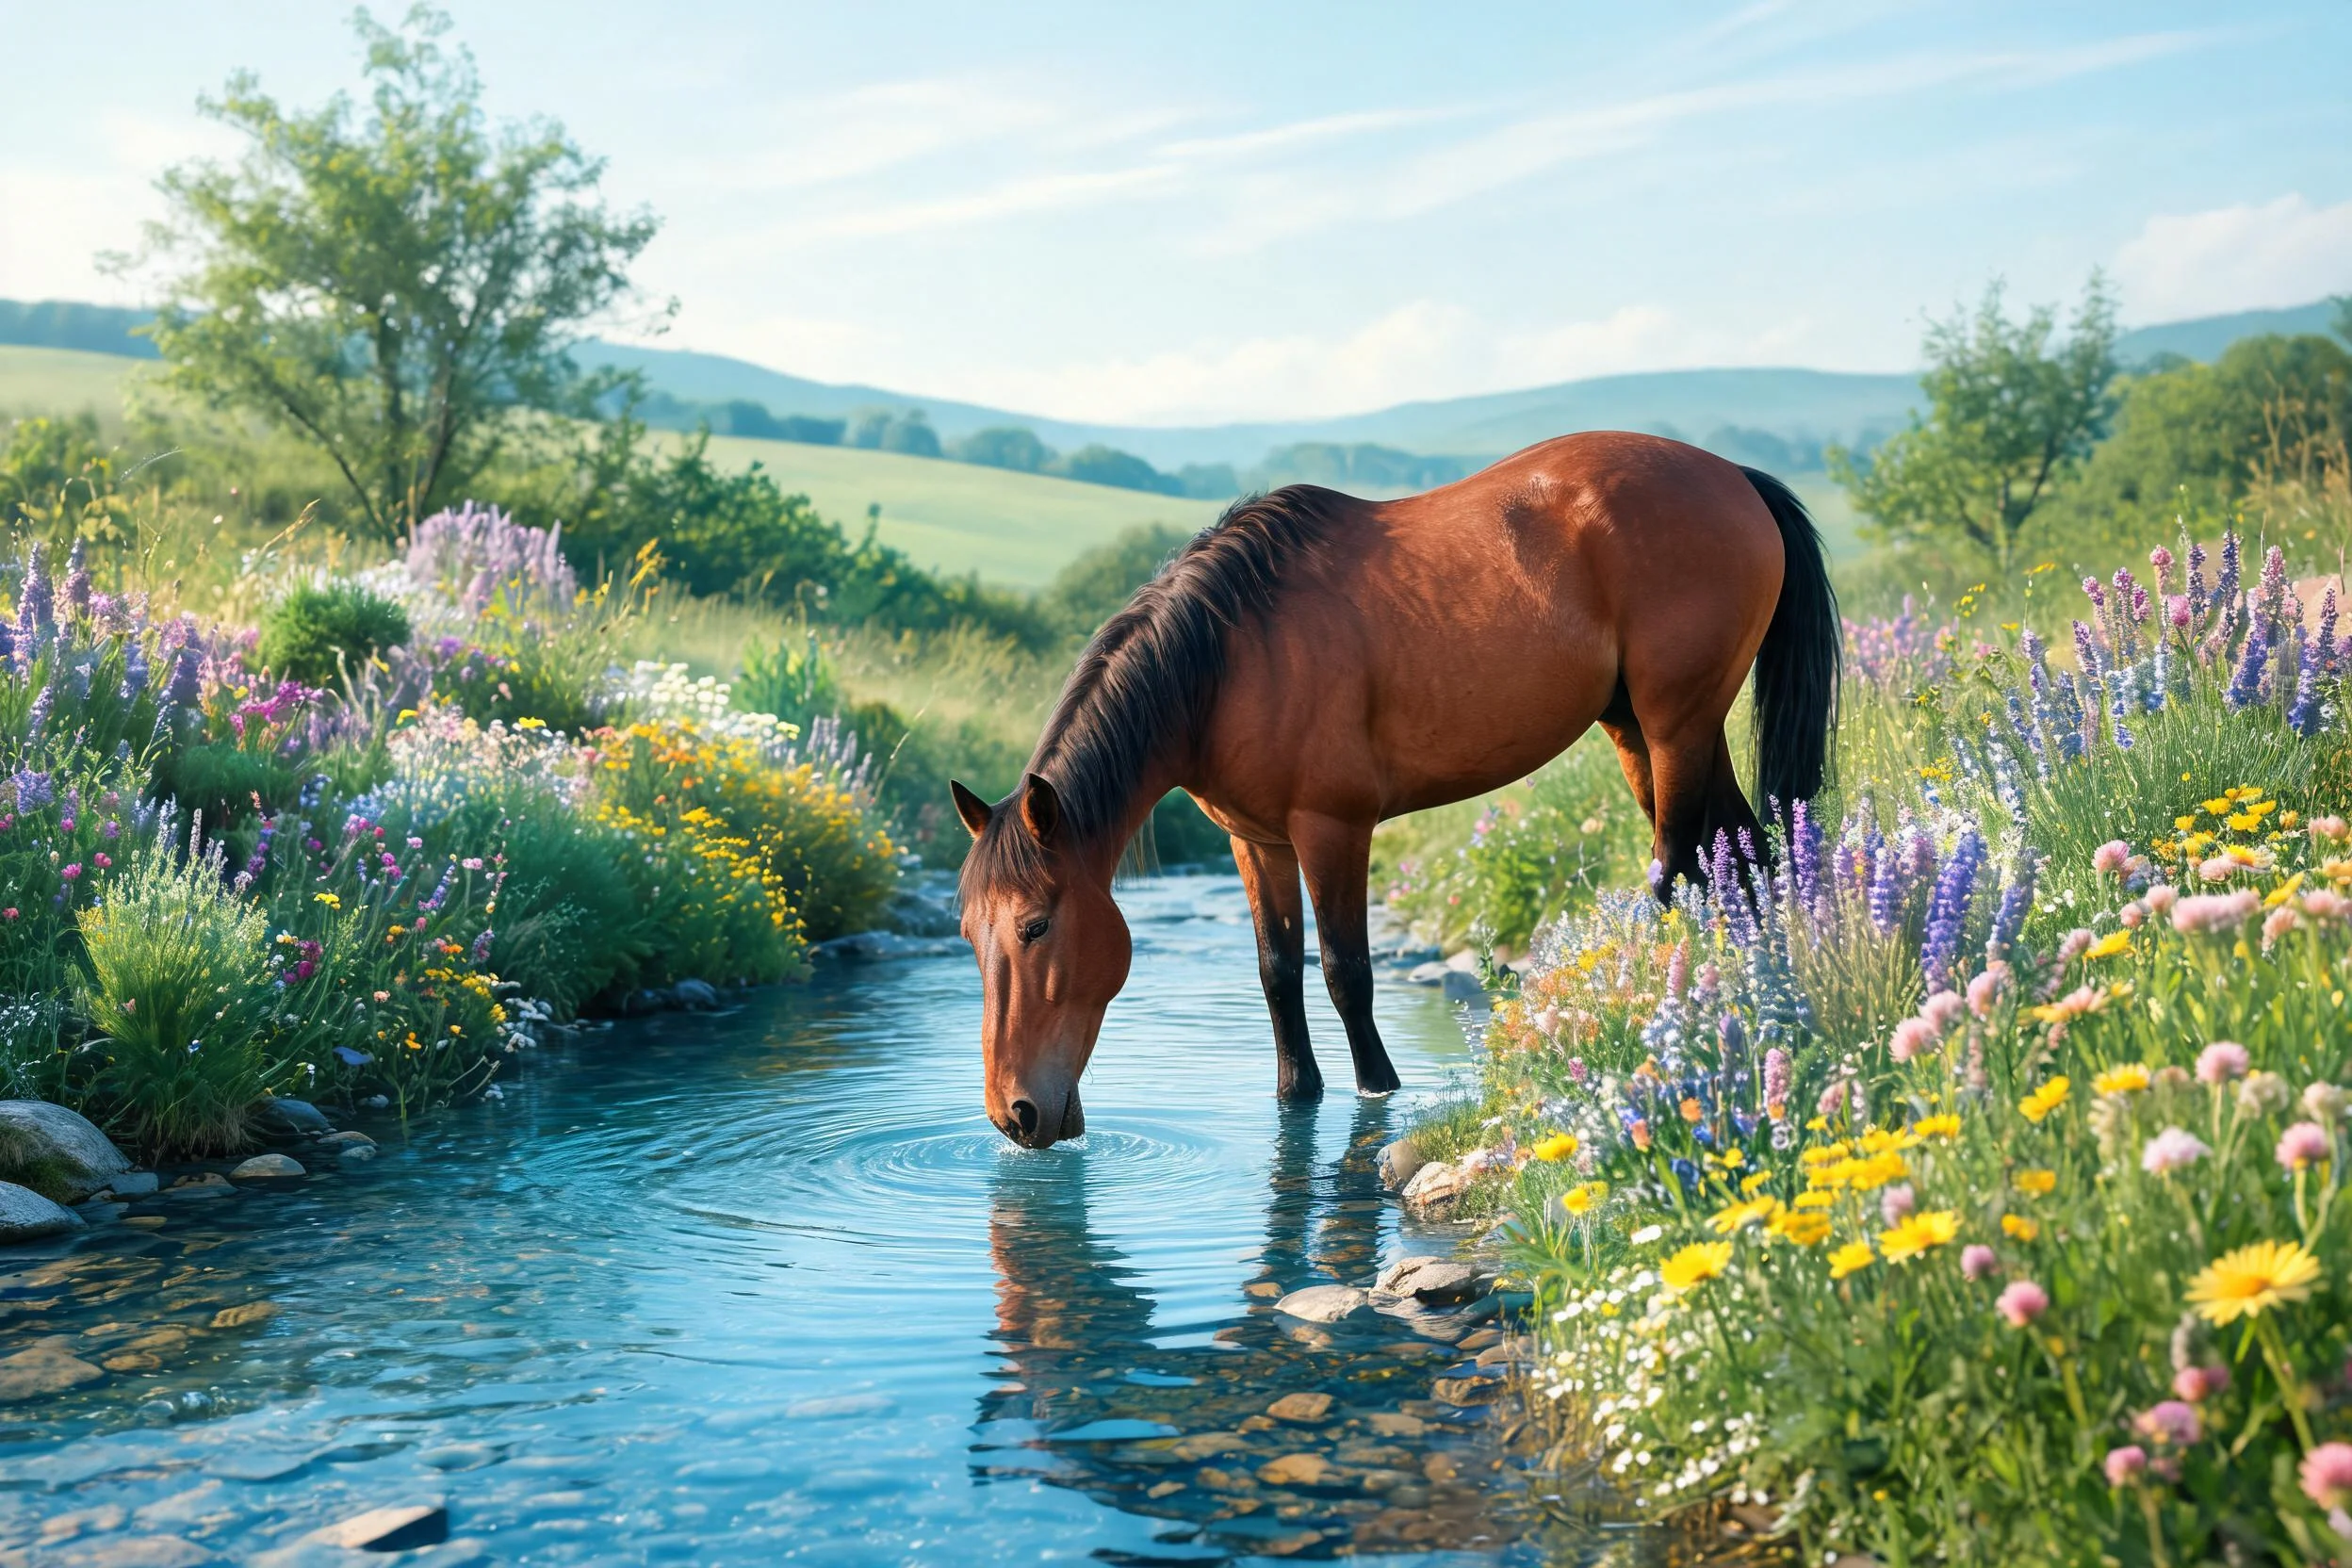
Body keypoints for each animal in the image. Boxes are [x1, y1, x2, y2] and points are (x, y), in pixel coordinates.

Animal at [951, 430, 1839, 1149]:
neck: (1230, 655)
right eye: (967, 933)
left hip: (1674, 726)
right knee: (1741, 859)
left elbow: (1347, 971)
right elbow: (1278, 970)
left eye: (1034, 926)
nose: (1013, 1115)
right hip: (1648, 730)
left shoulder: (1332, 828)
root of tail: (1732, 476)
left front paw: (1377, 1091)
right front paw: (1296, 1095)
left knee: (1679, 868)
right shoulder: (1254, 841)